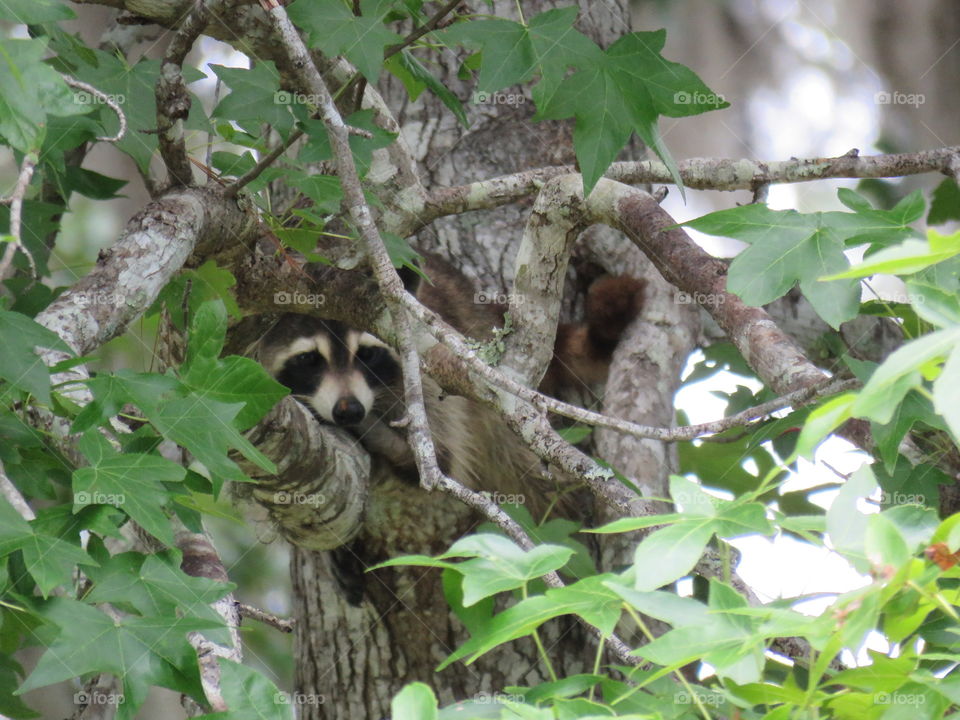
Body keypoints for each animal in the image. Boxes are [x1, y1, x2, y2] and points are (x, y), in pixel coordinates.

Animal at [256, 253, 644, 604]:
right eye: (309, 360)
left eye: (366, 354)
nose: (349, 410)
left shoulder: (427, 373)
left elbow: (440, 458)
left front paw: (383, 438)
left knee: (526, 472)